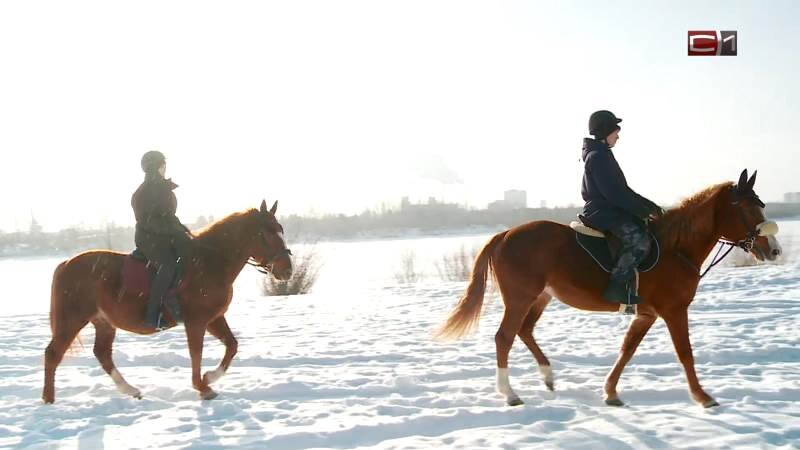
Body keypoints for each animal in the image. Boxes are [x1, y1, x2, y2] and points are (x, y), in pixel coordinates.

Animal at [42, 199, 292, 402]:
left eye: (281, 230)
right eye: (268, 233)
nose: (288, 270)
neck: (210, 262)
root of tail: (66, 263)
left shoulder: (214, 318)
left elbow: (232, 346)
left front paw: (209, 378)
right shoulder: (196, 322)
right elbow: (196, 352)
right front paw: (203, 387)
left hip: (103, 322)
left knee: (102, 354)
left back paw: (131, 390)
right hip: (73, 320)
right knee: (53, 354)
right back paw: (48, 399)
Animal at [438, 169, 780, 408]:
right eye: (747, 209)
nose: (774, 250)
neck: (676, 247)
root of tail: (505, 234)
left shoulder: (646, 315)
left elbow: (627, 350)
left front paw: (611, 392)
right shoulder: (673, 310)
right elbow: (685, 353)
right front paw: (702, 396)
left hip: (540, 297)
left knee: (524, 331)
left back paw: (548, 376)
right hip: (521, 298)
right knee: (505, 337)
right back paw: (510, 393)